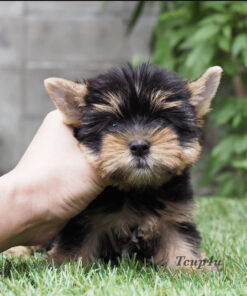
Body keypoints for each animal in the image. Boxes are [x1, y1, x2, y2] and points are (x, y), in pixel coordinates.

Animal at [5, 63, 223, 268]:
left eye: (161, 120)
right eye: (113, 125)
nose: (139, 146)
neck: (137, 190)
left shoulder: (175, 213)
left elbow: (180, 240)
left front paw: (192, 266)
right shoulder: (86, 218)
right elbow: (76, 242)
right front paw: (65, 265)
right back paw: (17, 250)